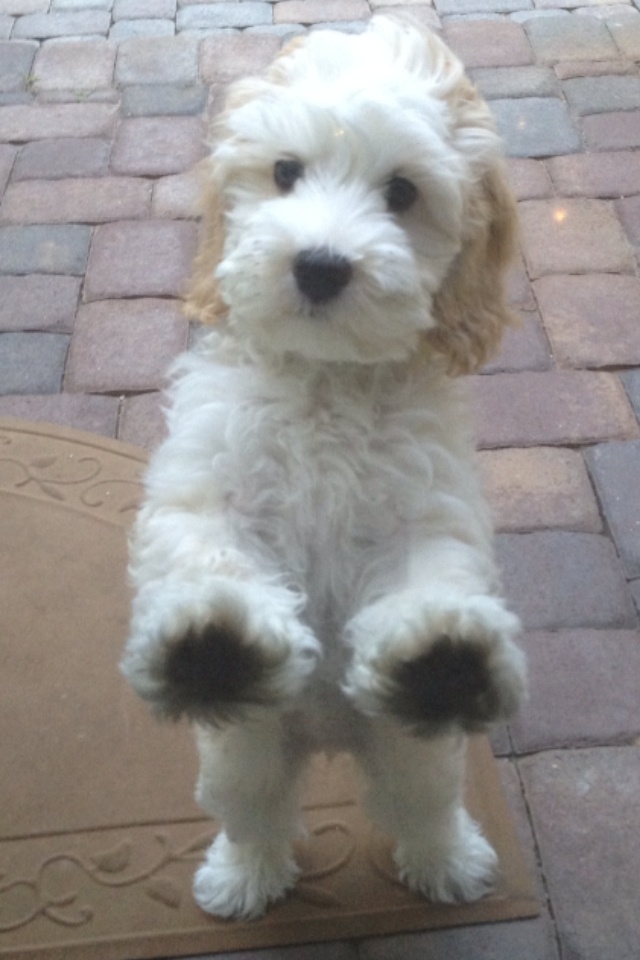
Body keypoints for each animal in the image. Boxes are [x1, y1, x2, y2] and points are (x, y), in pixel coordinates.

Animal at [120, 18, 524, 924]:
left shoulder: (432, 505)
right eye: (283, 173)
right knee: (256, 813)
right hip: (244, 749)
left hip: (415, 753)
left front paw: (441, 648)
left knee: (423, 803)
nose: (320, 265)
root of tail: (330, 735)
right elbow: (206, 549)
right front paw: (213, 634)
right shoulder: (200, 486)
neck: (326, 383)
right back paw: (242, 873)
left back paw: (448, 854)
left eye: (402, 192)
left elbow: (433, 570)